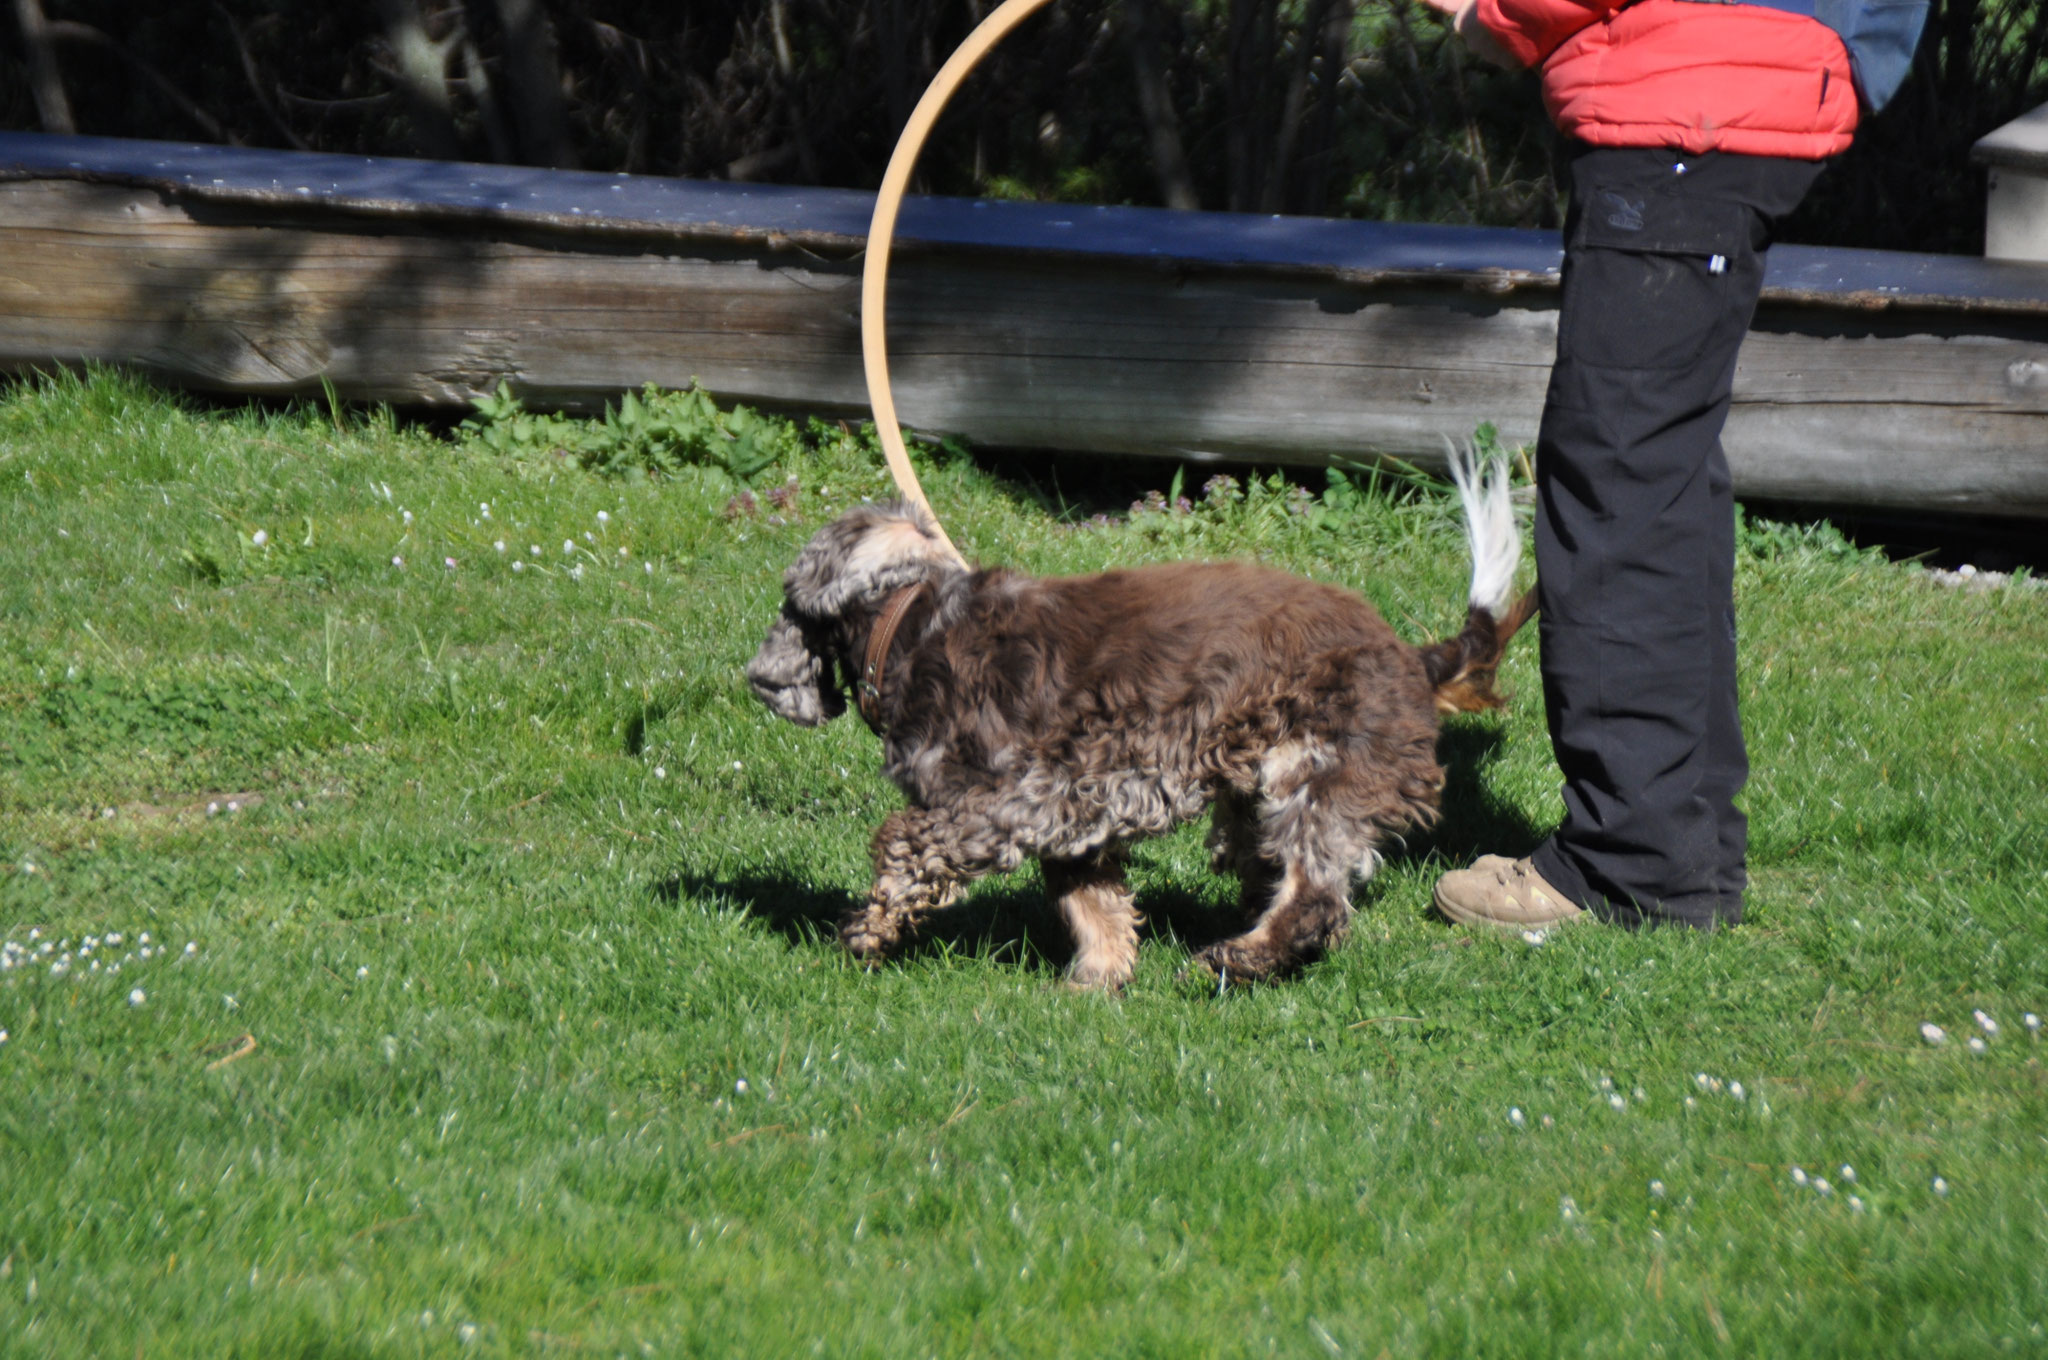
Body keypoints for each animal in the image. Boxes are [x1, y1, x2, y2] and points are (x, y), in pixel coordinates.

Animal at [746, 452, 1535, 990]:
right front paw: (1098, 980)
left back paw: (1237, 957)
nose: (762, 678)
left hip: (1309, 773)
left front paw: (865, 932)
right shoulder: (1073, 812)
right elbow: (1091, 903)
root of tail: (1415, 657)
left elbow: (901, 845)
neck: (915, 630)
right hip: (1251, 800)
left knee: (1315, 898)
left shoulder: (1003, 801)